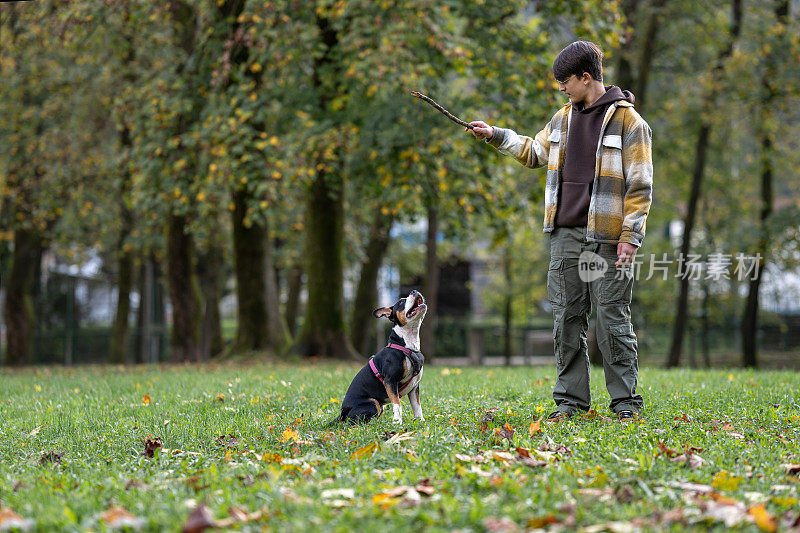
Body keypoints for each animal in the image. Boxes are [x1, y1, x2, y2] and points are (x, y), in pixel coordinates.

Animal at [332, 290, 428, 424]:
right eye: (401, 302)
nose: (414, 291)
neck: (408, 345)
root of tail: (342, 413)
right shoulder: (390, 381)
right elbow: (397, 404)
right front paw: (397, 422)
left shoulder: (414, 386)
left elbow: (417, 406)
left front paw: (420, 421)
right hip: (373, 403)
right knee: (355, 422)